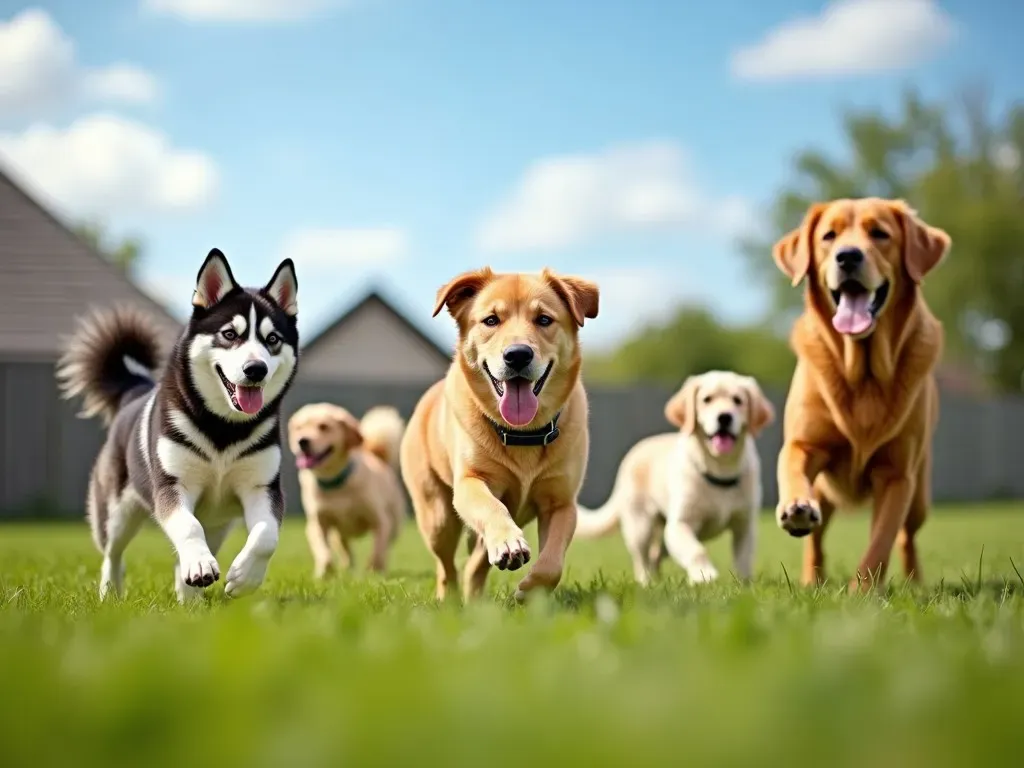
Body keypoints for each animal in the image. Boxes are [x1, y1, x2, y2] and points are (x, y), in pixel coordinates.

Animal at [56, 249, 299, 606]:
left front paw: (245, 578)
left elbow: (267, 535)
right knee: (112, 553)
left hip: (219, 524)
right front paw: (200, 565)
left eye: (272, 340)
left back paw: (190, 597)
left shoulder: (262, 488)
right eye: (230, 334)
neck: (223, 428)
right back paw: (111, 592)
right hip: (116, 513)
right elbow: (188, 527)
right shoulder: (172, 486)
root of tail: (135, 390)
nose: (256, 369)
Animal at [288, 403, 407, 577]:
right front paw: (324, 573)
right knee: (344, 548)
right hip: (338, 533)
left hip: (394, 525)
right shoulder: (317, 524)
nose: (302, 441)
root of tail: (376, 456)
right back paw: (347, 567)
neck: (335, 483)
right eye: (299, 428)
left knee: (385, 546)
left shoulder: (380, 521)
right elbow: (323, 552)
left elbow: (378, 550)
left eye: (324, 426)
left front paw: (374, 571)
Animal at [399, 268, 598, 606]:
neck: (523, 434)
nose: (517, 355)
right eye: (491, 320)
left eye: (544, 319)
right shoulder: (470, 483)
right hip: (437, 517)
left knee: (474, 567)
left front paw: (529, 590)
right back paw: (449, 600)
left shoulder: (561, 502)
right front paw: (508, 543)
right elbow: (493, 508)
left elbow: (552, 564)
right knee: (446, 567)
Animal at [577, 370, 774, 581]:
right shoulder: (679, 525)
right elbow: (697, 550)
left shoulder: (745, 526)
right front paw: (704, 575)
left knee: (655, 555)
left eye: (738, 400)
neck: (720, 470)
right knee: (642, 560)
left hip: (663, 537)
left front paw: (744, 584)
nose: (724, 417)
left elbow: (744, 560)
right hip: (640, 527)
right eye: (707, 399)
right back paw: (646, 582)